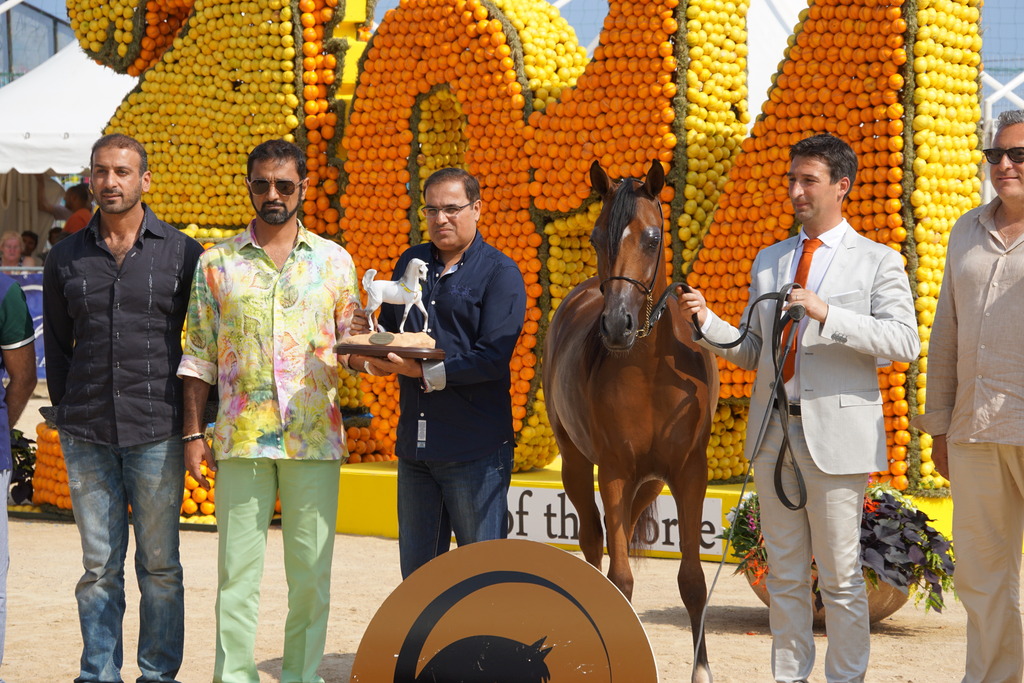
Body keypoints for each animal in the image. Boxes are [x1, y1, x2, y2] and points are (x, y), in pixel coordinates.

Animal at [543, 159, 719, 682]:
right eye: (597, 236)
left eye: (653, 237)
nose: (616, 324)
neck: (648, 370)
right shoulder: (615, 471)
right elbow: (620, 576)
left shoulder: (689, 473)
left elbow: (692, 579)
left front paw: (701, 670)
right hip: (576, 464)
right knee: (593, 540)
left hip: (652, 481)